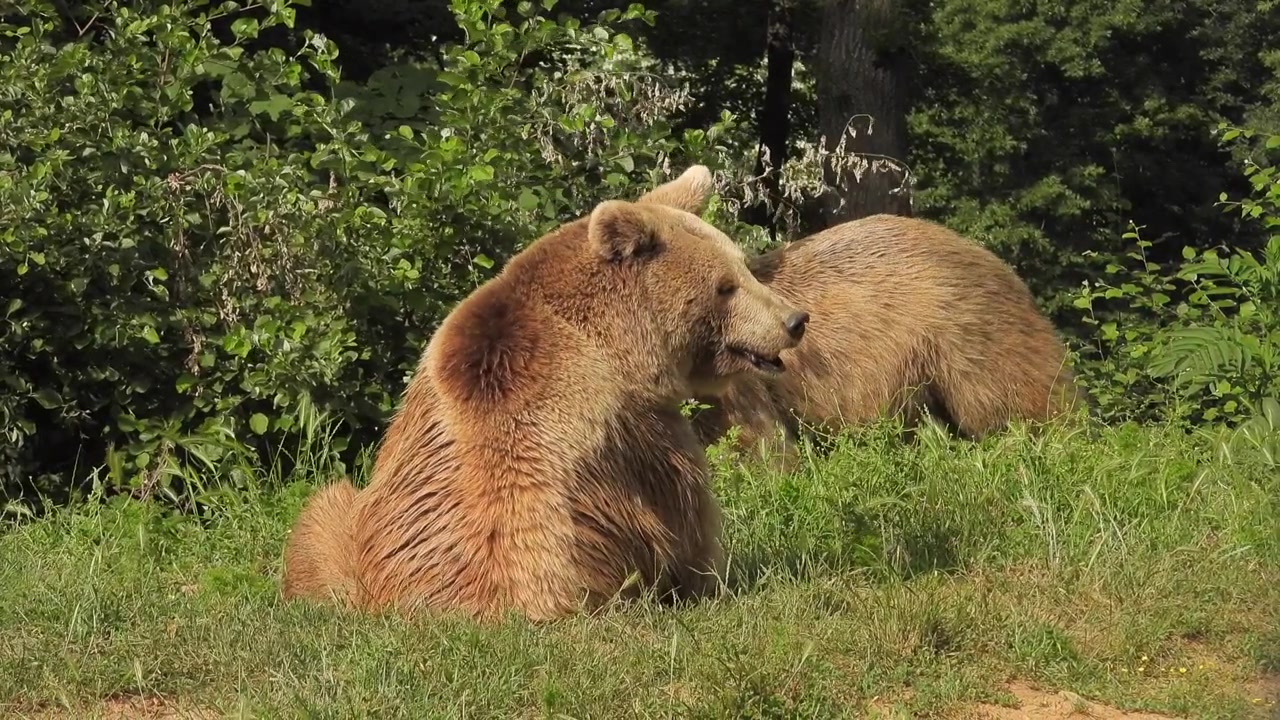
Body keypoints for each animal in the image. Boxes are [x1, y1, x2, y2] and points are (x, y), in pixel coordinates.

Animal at [279, 166, 810, 621]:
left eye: (743, 268)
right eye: (724, 286)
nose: (794, 320)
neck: (620, 339)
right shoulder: (641, 435)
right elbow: (690, 526)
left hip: (350, 543)